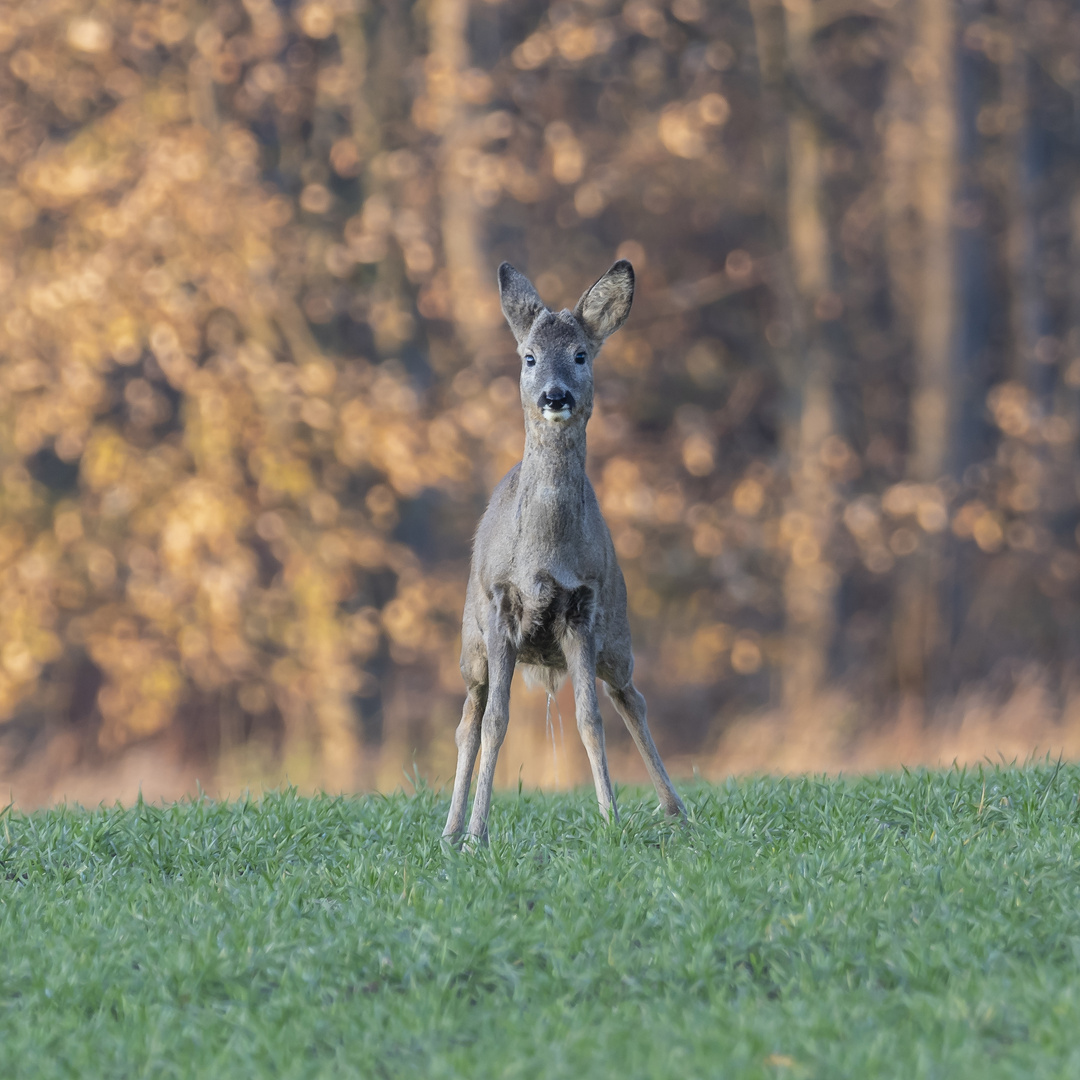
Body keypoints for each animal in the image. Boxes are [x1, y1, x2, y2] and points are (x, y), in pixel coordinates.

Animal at [444, 259, 682, 842]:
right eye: (529, 356)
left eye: (580, 354)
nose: (555, 396)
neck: (544, 557)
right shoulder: (500, 605)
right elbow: (496, 722)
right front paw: (476, 835)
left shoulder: (585, 607)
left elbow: (589, 719)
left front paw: (611, 818)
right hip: (469, 646)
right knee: (468, 720)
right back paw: (450, 829)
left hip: (619, 636)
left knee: (630, 698)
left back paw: (676, 809)